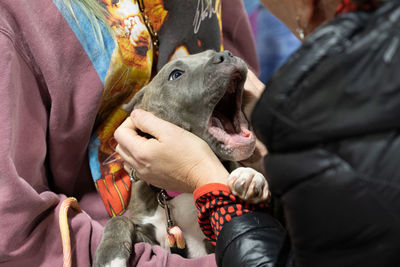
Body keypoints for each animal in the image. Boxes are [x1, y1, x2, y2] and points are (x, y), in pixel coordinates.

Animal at [94, 50, 268, 267]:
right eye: (176, 74)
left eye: (212, 52)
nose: (226, 54)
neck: (177, 192)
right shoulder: (152, 239)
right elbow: (119, 220)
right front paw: (110, 256)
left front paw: (250, 176)